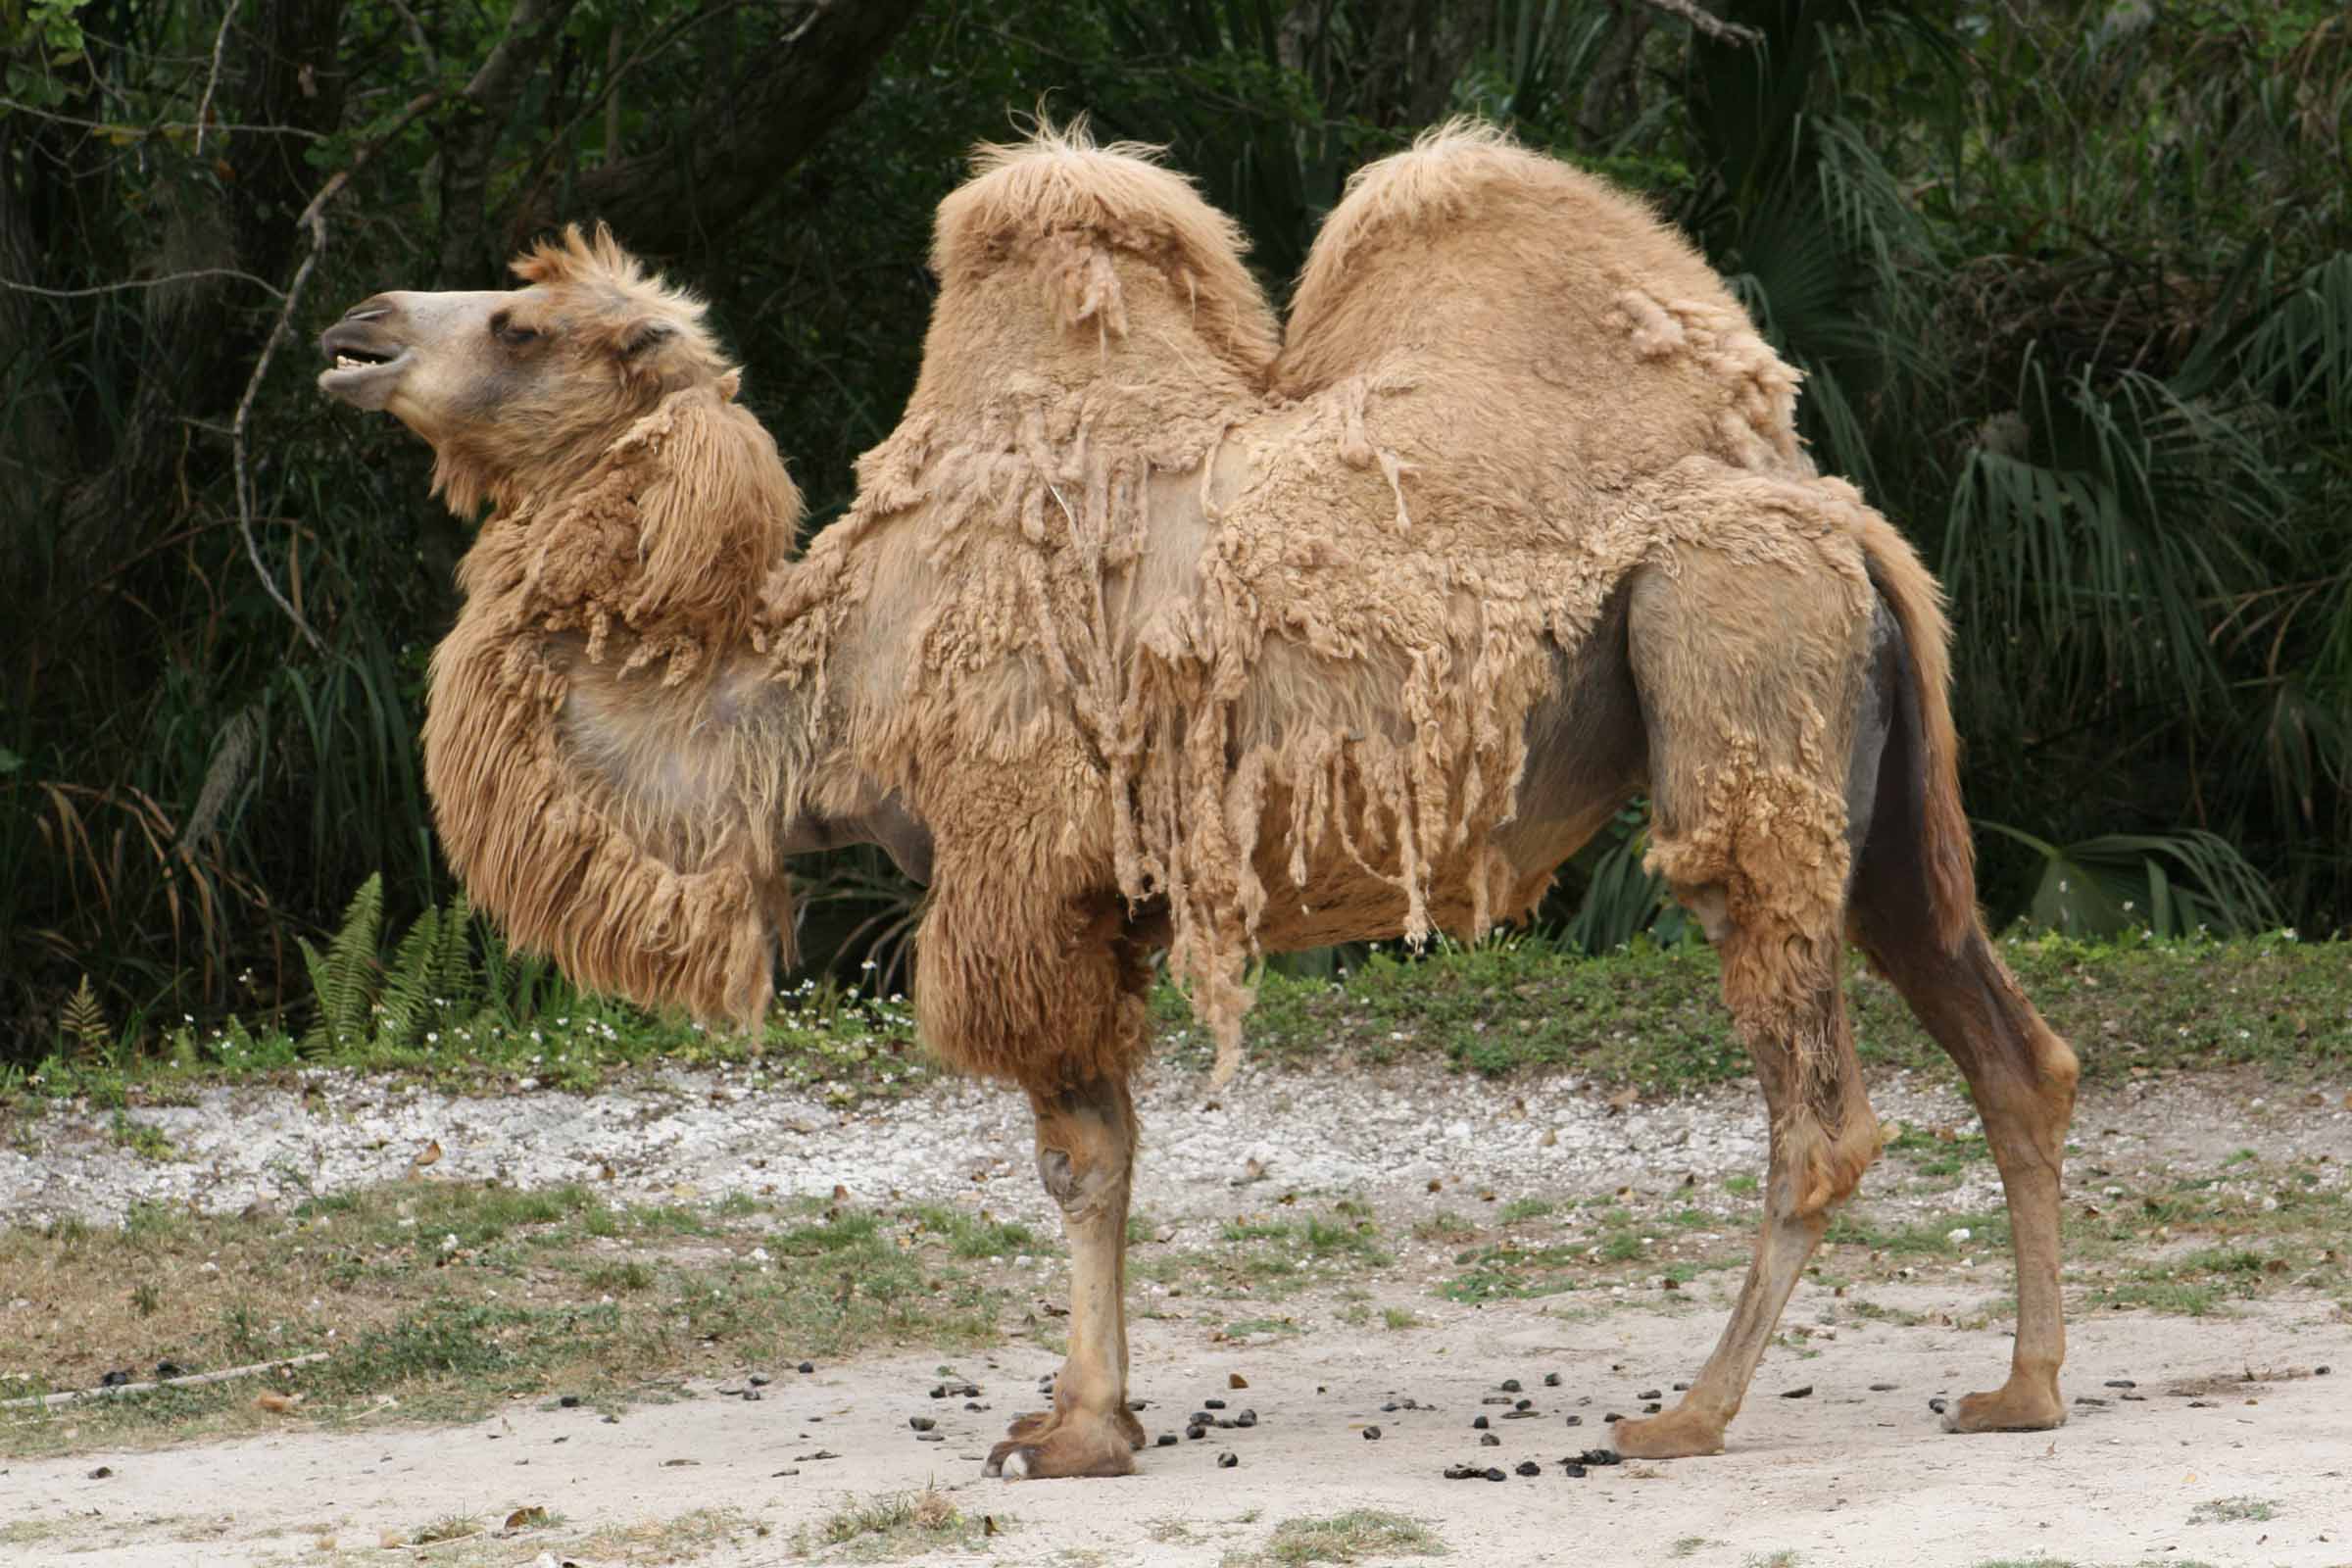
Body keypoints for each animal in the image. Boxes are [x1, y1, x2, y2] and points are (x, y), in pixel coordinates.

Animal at [317, 121, 2077, 1478]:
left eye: (523, 326)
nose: (357, 329)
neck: (815, 691)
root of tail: (1840, 519)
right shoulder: (1097, 894)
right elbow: (1109, 1152)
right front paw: (1081, 1407)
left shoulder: (1020, 871)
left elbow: (1079, 1157)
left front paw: (1077, 1433)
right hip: (1878, 789)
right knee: (2010, 1044)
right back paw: (2019, 1390)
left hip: (1735, 659)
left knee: (1820, 1105)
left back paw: (1684, 1417)